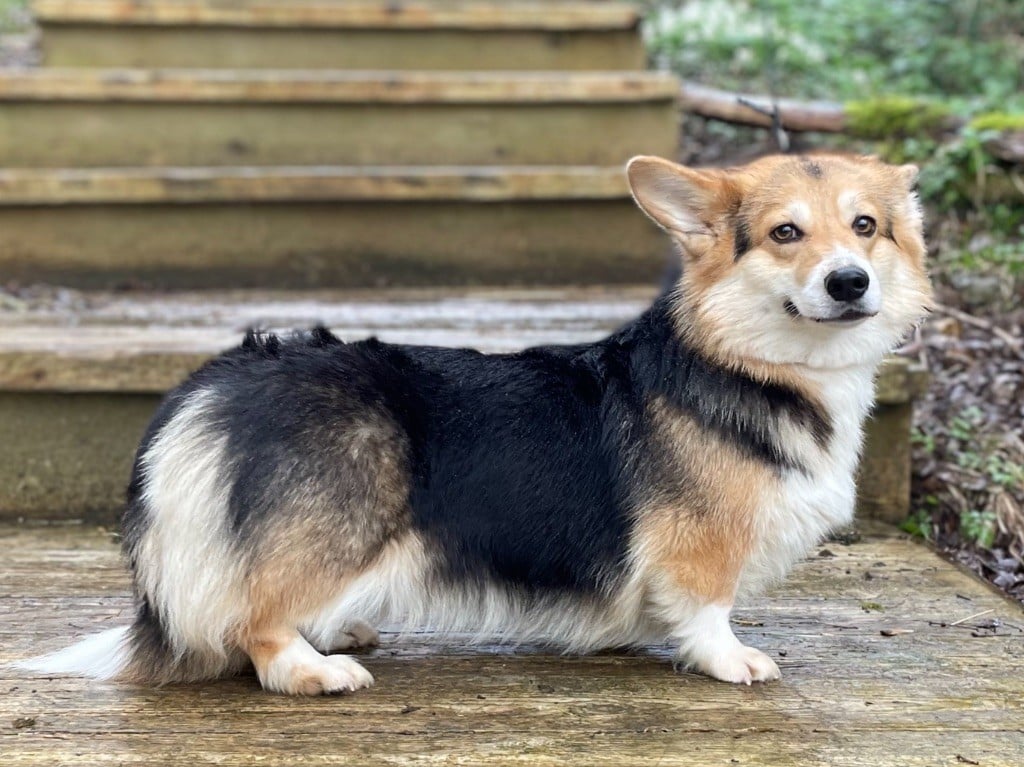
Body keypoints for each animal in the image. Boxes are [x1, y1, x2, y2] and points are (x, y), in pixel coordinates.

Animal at [22, 152, 937, 692]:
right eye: (785, 233)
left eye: (865, 226)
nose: (850, 281)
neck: (748, 360)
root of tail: (216, 384)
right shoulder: (700, 547)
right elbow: (707, 608)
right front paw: (733, 659)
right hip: (340, 523)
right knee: (253, 620)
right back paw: (317, 666)